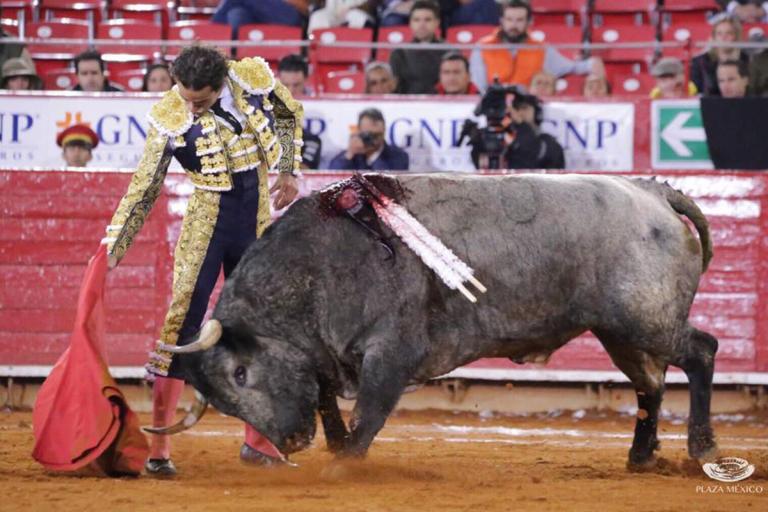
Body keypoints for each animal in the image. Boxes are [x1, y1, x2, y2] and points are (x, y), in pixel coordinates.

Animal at [152, 174, 720, 470]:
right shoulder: (324, 359)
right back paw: (642, 456)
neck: (316, 265)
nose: (288, 442)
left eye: (241, 373)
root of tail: (651, 190)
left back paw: (702, 447)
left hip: (645, 319)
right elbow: (329, 406)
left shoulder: (390, 354)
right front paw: (332, 449)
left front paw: (344, 467)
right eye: (226, 403)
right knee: (650, 384)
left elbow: (367, 417)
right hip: (619, 331)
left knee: (701, 352)